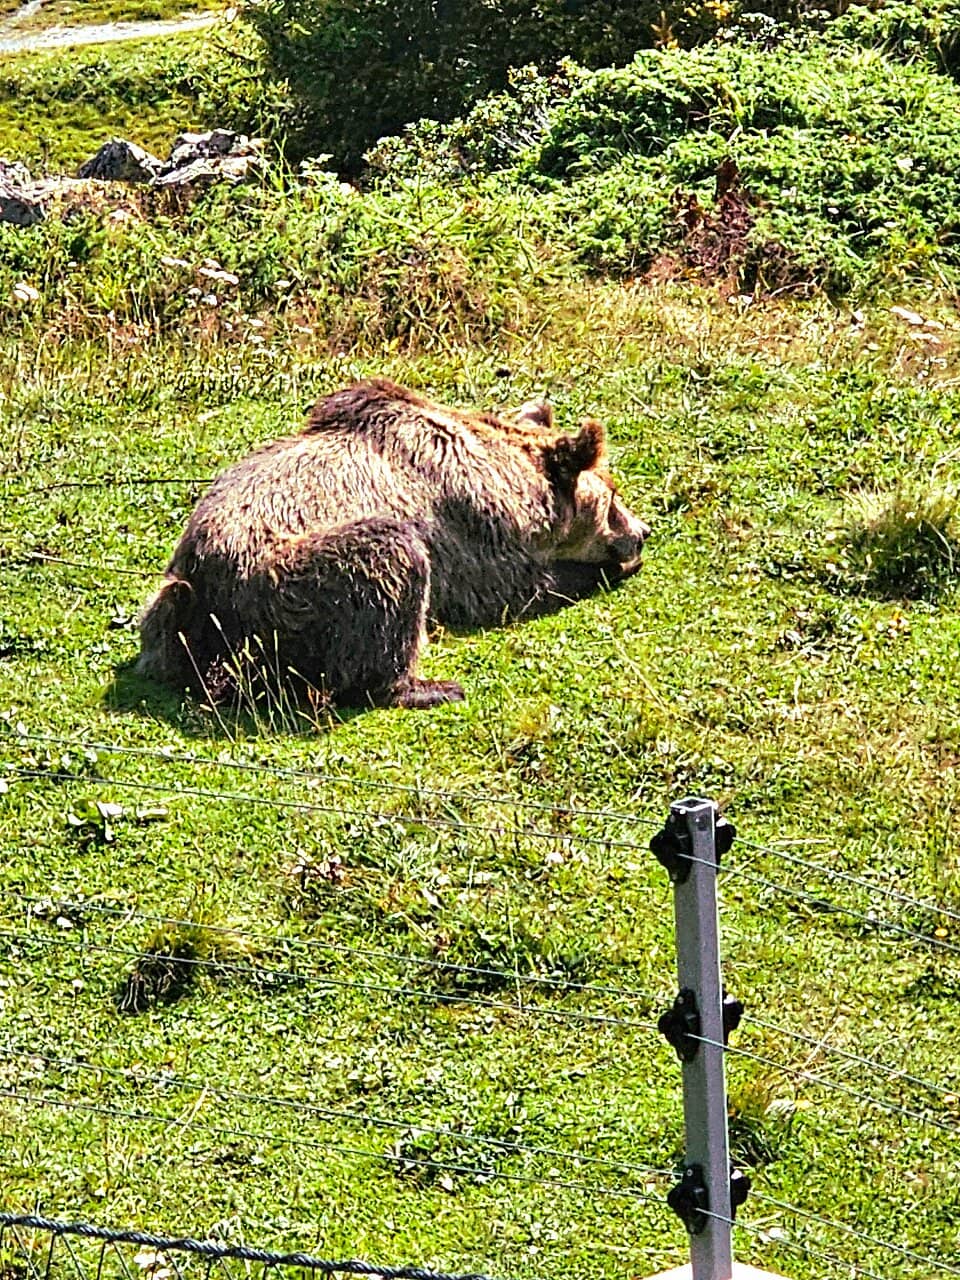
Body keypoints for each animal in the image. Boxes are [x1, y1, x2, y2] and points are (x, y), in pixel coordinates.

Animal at [136, 378, 650, 710]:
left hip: (169, 604)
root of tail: (203, 589)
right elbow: (509, 587)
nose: (642, 533)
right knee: (390, 564)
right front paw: (600, 569)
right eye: (612, 498)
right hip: (286, 585)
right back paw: (425, 685)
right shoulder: (468, 528)